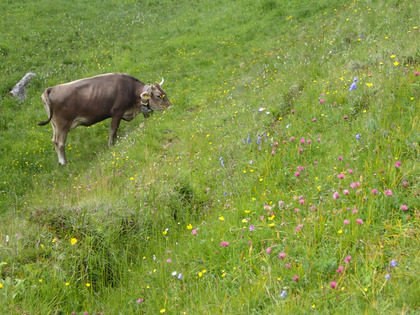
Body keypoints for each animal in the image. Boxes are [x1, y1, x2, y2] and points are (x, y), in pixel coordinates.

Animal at [38, 73, 171, 164]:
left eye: (165, 93)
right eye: (158, 96)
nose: (171, 107)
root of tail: (51, 89)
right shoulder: (117, 112)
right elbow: (113, 130)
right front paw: (111, 146)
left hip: (55, 125)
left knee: (55, 141)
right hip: (62, 125)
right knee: (60, 143)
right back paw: (64, 163)